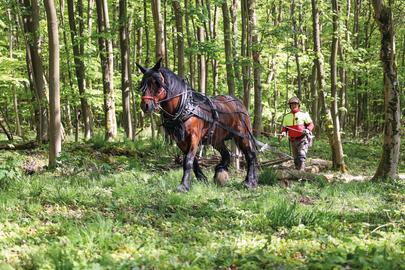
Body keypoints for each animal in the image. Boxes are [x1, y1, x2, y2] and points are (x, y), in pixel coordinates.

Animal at [137, 58, 258, 192]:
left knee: (250, 155)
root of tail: (239, 103)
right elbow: (192, 160)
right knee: (226, 154)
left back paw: (249, 182)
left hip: (242, 136)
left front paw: (184, 185)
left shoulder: (194, 137)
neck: (186, 106)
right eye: (143, 83)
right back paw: (220, 171)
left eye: (157, 83)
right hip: (216, 139)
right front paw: (201, 178)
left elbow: (188, 160)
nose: (145, 106)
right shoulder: (180, 140)